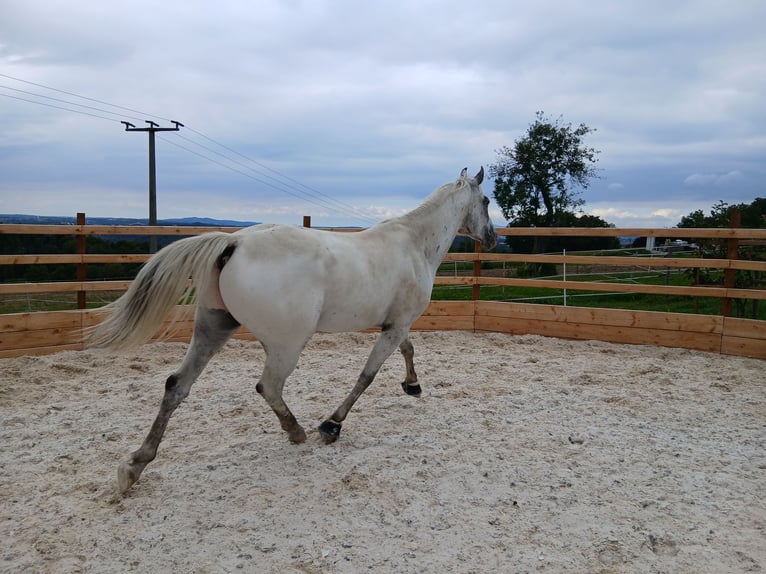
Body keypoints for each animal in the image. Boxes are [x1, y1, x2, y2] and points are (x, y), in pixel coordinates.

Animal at [90, 167, 497, 492]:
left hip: (212, 328)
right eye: (487, 200)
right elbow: (367, 376)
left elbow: (408, 351)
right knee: (268, 386)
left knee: (176, 385)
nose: (493, 239)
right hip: (287, 344)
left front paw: (412, 386)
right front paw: (331, 426)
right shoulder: (395, 326)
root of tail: (235, 242)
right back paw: (297, 432)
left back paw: (134, 465)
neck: (414, 244)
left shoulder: (397, 324)